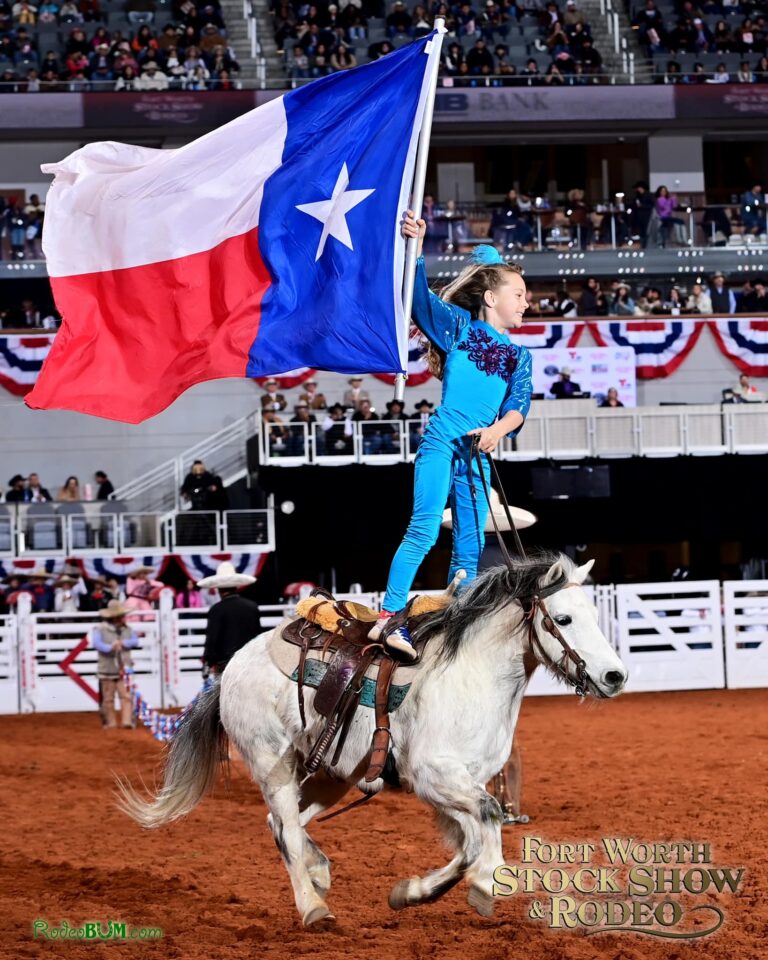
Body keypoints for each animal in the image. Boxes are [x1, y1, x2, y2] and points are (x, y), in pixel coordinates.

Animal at [118, 552, 624, 928]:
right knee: (285, 828)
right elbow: (488, 816)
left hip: (331, 776)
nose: (615, 676)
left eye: (595, 615)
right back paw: (313, 907)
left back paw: (319, 872)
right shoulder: (434, 777)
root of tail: (232, 668)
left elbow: (469, 843)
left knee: (281, 823)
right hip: (272, 763)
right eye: (564, 618)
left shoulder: (459, 784)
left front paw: (411, 892)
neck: (470, 674)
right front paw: (486, 886)